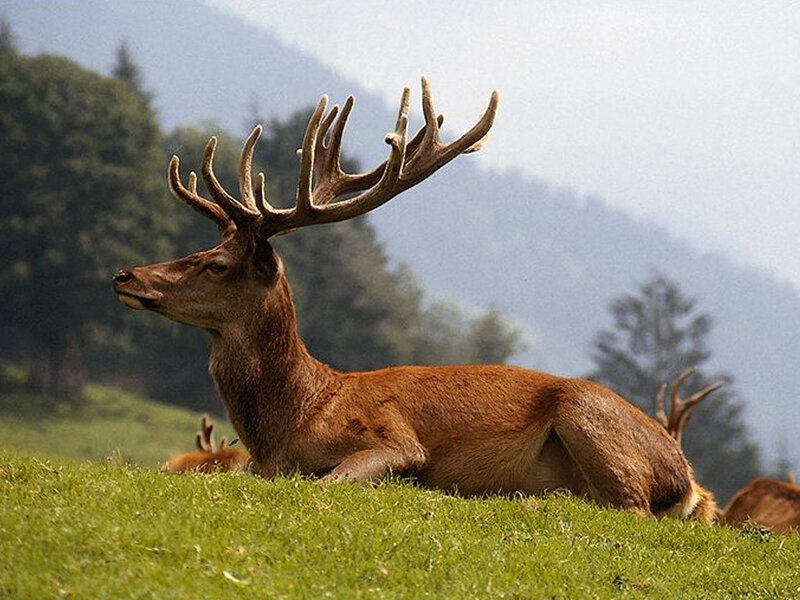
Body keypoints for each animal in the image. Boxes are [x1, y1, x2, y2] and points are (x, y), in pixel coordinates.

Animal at [112, 77, 715, 521]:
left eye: (216, 265)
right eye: (201, 248)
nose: (125, 274)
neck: (295, 418)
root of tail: (688, 481)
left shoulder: (394, 439)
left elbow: (330, 482)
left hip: (587, 415)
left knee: (631, 509)